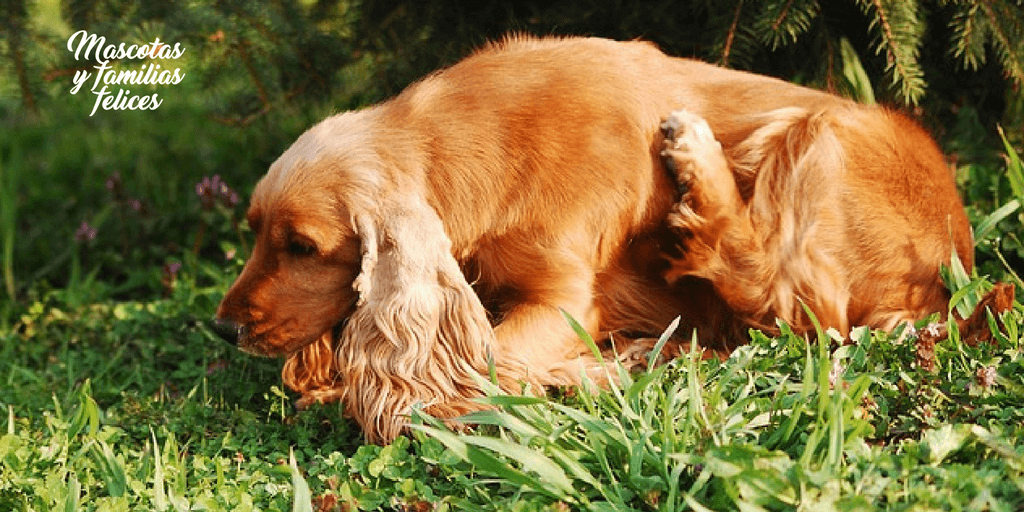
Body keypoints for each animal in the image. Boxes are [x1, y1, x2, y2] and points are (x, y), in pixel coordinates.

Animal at [214, 36, 966, 444]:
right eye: (254, 233)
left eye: (303, 246)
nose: (224, 328)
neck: (468, 146)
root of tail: (949, 269)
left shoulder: (566, 298)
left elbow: (490, 365)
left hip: (813, 133)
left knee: (788, 301)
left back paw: (695, 156)